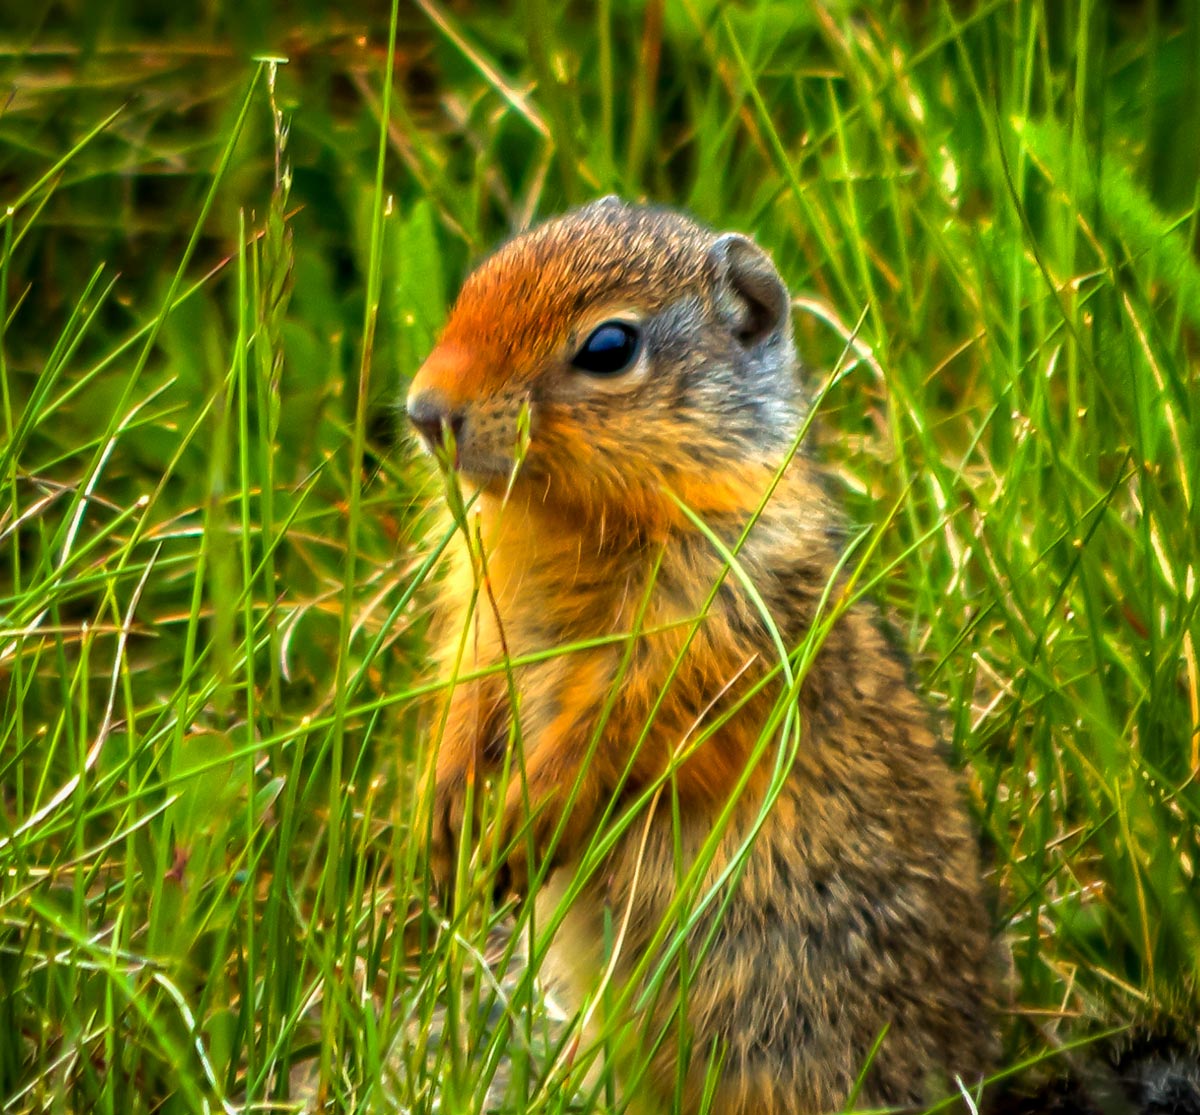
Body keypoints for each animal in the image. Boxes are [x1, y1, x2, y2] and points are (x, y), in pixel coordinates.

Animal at [408, 202, 998, 1113]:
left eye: (609, 347)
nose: (425, 412)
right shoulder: (482, 610)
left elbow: (612, 736)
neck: (572, 515)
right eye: (475, 281)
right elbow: (467, 690)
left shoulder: (709, 623)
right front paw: (443, 821)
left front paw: (516, 827)